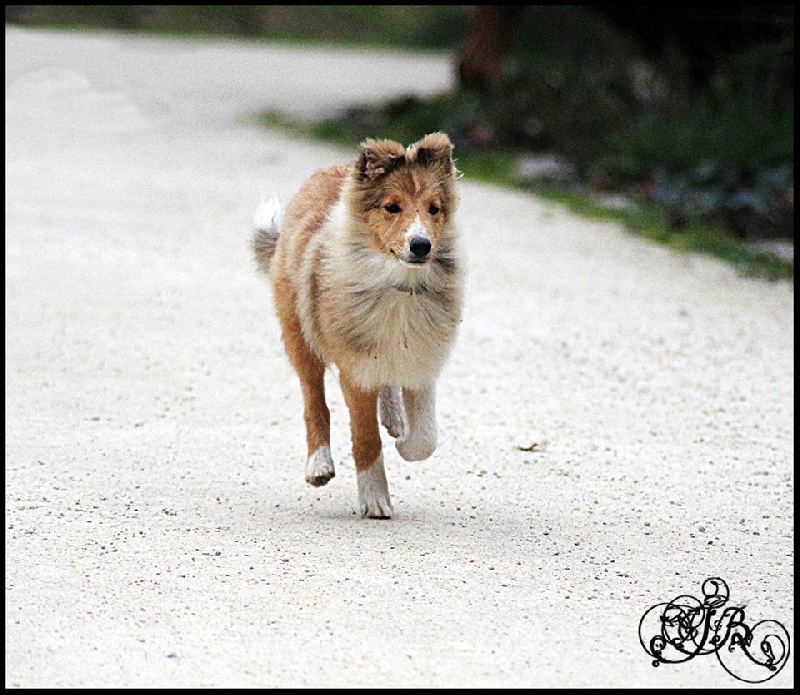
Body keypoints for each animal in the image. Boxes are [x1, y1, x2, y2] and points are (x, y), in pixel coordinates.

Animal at [252, 132, 463, 518]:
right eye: (392, 207)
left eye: (434, 208)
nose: (421, 245)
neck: (398, 284)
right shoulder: (356, 368)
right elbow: (365, 436)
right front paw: (375, 499)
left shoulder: (423, 358)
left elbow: (426, 438)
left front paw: (405, 444)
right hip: (299, 334)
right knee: (314, 402)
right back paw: (319, 465)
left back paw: (395, 419)